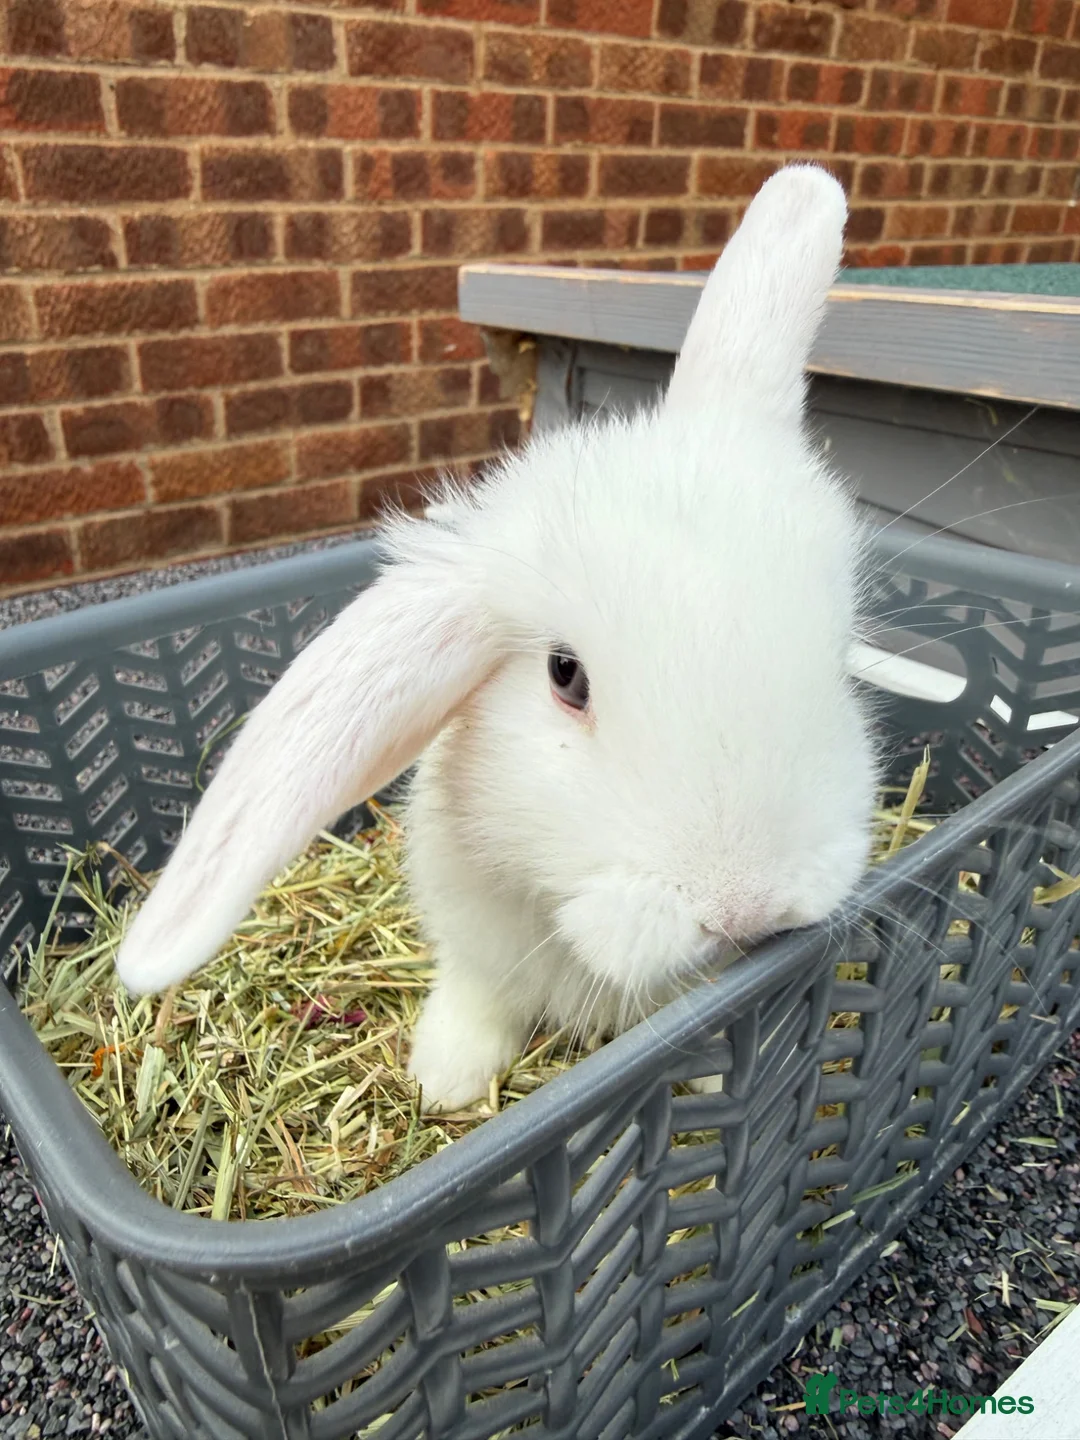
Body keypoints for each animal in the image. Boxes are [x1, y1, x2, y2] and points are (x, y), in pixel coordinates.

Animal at [115, 163, 880, 1113]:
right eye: (565, 675)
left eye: (839, 656)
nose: (744, 910)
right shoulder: (474, 940)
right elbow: (477, 997)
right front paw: (444, 1079)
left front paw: (709, 1083)